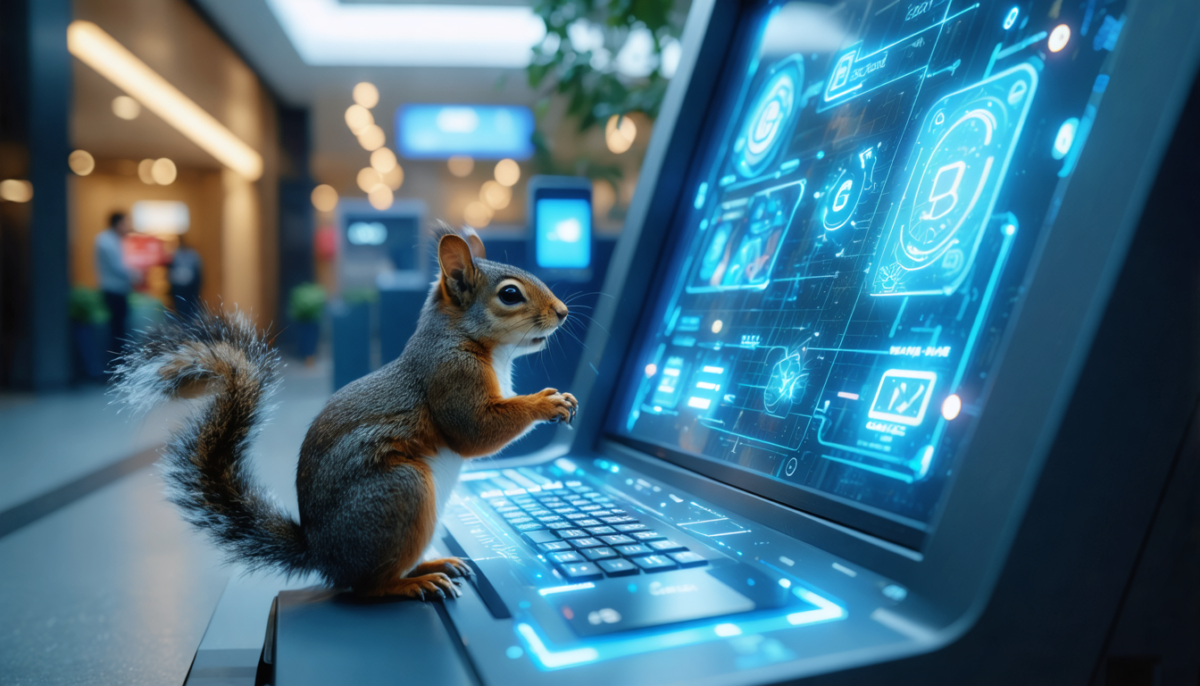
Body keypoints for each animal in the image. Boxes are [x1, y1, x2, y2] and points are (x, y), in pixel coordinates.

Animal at [112, 226, 578, 600]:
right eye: (510, 294)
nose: (563, 312)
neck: (473, 343)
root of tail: (323, 556)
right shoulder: (450, 376)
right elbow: (475, 432)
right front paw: (547, 401)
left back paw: (434, 563)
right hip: (400, 492)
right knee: (366, 587)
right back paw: (412, 583)